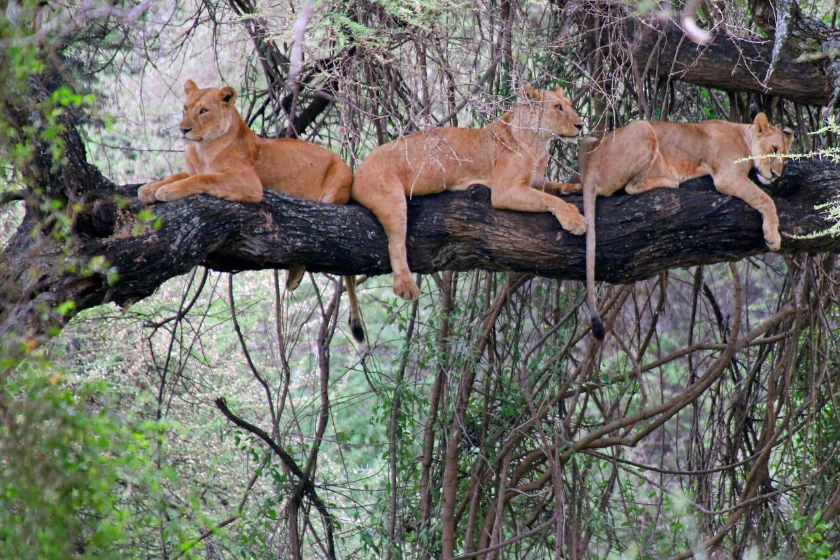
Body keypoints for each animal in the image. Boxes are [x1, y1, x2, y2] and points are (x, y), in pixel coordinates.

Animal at [138, 79, 364, 341]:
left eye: (203, 111)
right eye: (185, 108)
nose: (183, 129)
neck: (203, 149)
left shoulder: (248, 182)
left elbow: (203, 178)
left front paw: (167, 191)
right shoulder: (194, 169)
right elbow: (178, 175)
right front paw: (150, 188)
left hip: (332, 193)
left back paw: (294, 276)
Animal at [351, 85, 587, 300]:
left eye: (569, 105)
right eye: (558, 108)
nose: (581, 125)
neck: (539, 145)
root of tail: (357, 171)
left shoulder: (534, 182)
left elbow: (551, 187)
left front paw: (574, 187)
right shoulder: (504, 191)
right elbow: (549, 198)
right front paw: (574, 219)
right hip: (392, 200)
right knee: (396, 244)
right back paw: (406, 285)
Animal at [572, 113, 794, 340]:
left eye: (785, 159)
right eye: (774, 149)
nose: (776, 175)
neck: (744, 137)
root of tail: (592, 167)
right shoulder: (727, 177)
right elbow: (766, 199)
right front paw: (773, 237)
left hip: (589, 140)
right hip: (644, 128)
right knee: (631, 187)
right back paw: (671, 180)